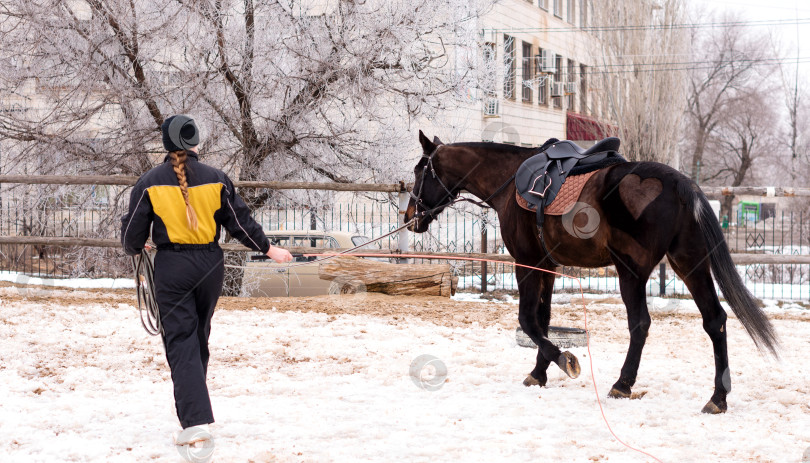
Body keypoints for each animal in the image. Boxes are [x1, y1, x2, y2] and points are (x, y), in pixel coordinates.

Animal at [404, 130, 776, 414]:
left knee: (640, 324)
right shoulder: (547, 266)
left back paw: (623, 384)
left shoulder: (527, 262)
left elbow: (528, 320)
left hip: (631, 271)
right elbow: (543, 319)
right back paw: (718, 398)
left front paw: (564, 360)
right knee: (715, 321)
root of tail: (683, 185)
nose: (410, 217)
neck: (509, 181)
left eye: (420, 172)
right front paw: (539, 372)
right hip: (690, 265)